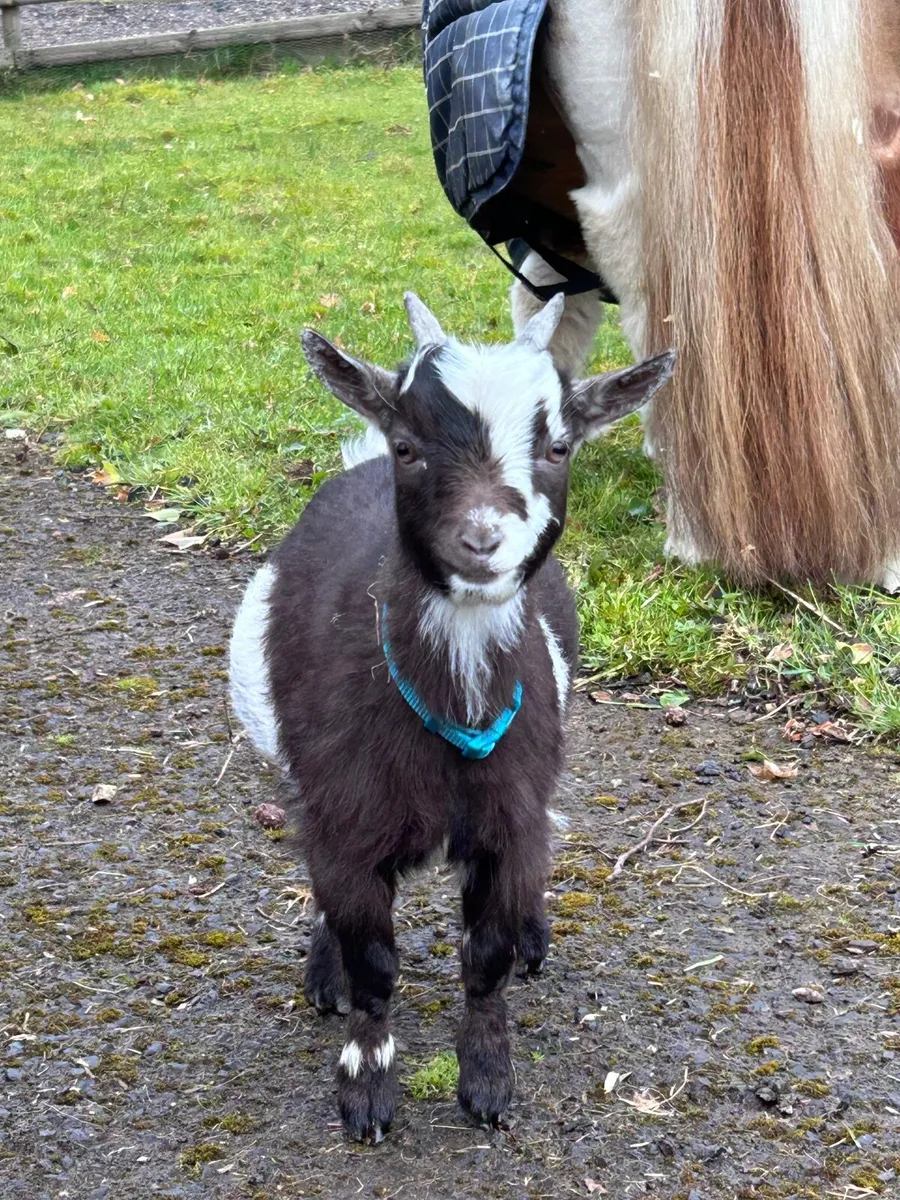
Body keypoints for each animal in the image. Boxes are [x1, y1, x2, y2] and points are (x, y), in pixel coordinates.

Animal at [229, 292, 674, 1142]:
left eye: (559, 446)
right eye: (410, 445)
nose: (483, 539)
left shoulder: (509, 816)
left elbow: (486, 957)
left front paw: (489, 1082)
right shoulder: (347, 820)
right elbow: (373, 960)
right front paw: (366, 1090)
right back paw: (323, 972)